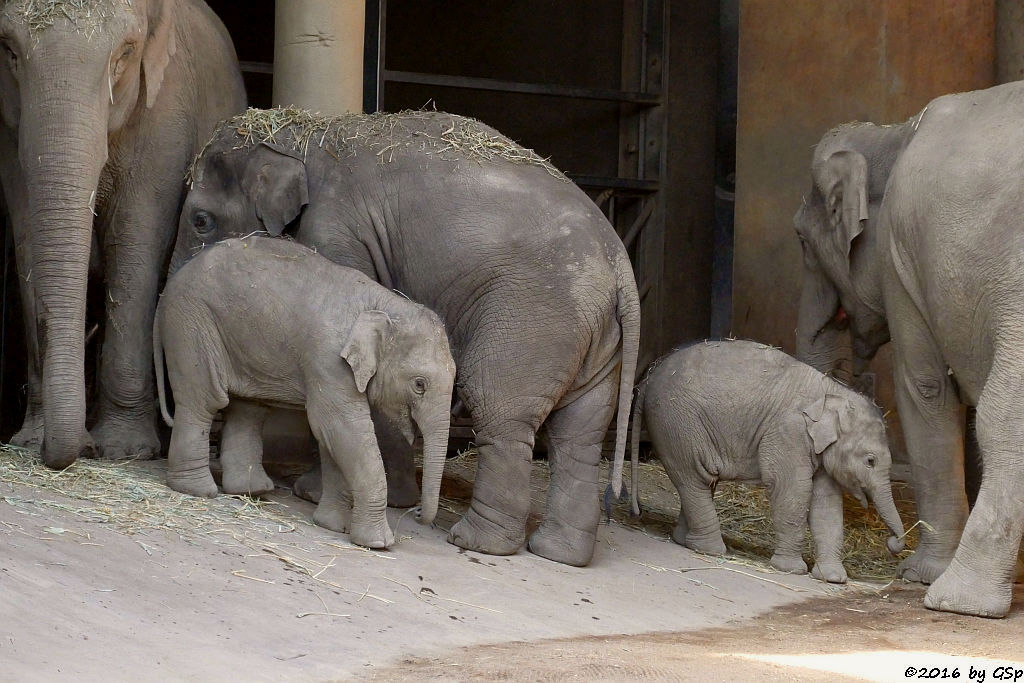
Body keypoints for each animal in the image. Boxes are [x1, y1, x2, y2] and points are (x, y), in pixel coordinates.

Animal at [0, 0, 245, 466]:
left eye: (125, 54)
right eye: (9, 51)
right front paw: (30, 441)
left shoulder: (166, 114)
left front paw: (123, 451)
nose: (83, 446)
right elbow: (27, 238)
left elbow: (134, 239)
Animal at [152, 237, 456, 548]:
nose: (417, 513)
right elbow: (342, 429)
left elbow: (334, 439)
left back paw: (251, 490)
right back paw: (198, 490)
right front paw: (378, 543)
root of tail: (167, 290)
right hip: (191, 323)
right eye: (419, 384)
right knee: (204, 401)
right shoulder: (328, 360)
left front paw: (332, 526)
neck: (381, 303)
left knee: (248, 409)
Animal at [622, 339, 905, 581]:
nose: (894, 543)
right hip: (677, 422)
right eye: (870, 460)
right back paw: (711, 550)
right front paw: (792, 570)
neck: (833, 391)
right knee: (695, 479)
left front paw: (833, 578)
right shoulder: (787, 432)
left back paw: (685, 541)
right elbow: (791, 488)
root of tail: (649, 376)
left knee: (701, 481)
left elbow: (827, 501)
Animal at [794, 81, 1024, 618]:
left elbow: (925, 390)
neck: (893, 132)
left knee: (1004, 415)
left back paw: (958, 600)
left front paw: (919, 573)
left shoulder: (900, 260)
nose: (893, 544)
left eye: (801, 241)